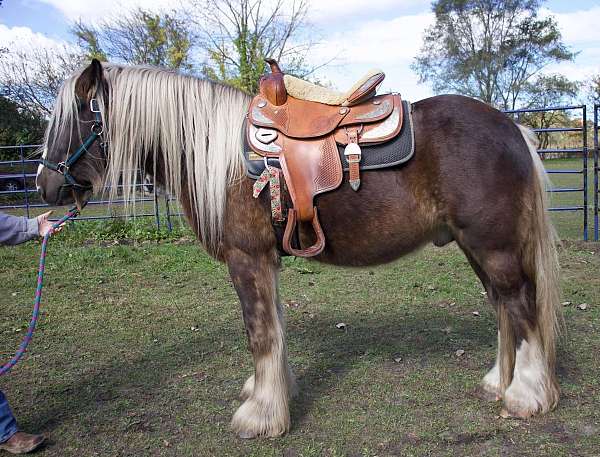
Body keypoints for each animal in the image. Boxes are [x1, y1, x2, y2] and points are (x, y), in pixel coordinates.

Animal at [36, 58, 564, 436]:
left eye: (75, 119)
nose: (45, 186)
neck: (220, 157)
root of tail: (513, 128)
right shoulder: (267, 262)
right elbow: (276, 328)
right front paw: (273, 392)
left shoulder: (246, 260)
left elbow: (260, 333)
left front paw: (260, 417)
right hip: (474, 247)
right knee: (502, 307)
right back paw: (499, 382)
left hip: (493, 246)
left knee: (520, 306)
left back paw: (526, 395)